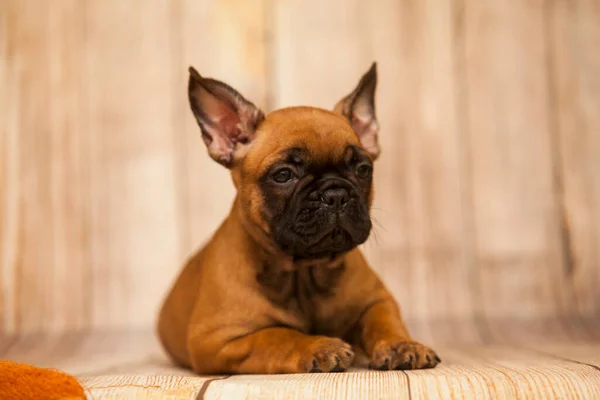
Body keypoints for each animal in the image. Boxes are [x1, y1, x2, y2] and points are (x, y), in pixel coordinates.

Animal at [158, 62, 440, 376]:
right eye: (283, 175)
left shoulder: (377, 300)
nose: (336, 194)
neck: (304, 270)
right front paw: (319, 345)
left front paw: (401, 345)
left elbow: (384, 322)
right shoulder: (218, 339)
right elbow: (277, 335)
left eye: (363, 170)